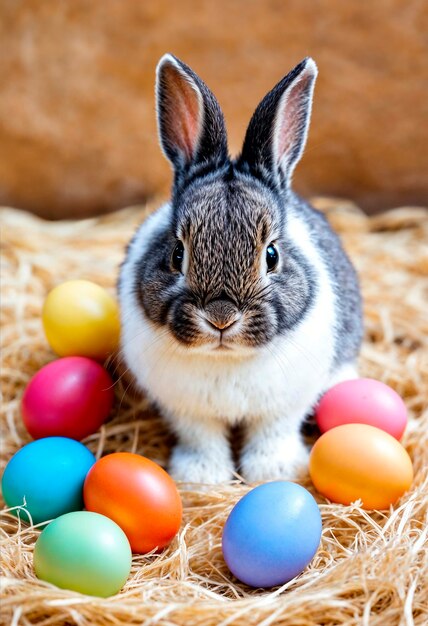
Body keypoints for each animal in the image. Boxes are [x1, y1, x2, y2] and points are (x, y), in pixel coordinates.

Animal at [118, 53, 362, 482]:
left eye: (272, 255)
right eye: (177, 254)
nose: (221, 317)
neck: (226, 357)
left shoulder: (283, 407)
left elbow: (273, 432)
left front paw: (275, 470)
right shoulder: (187, 412)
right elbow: (202, 438)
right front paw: (201, 477)